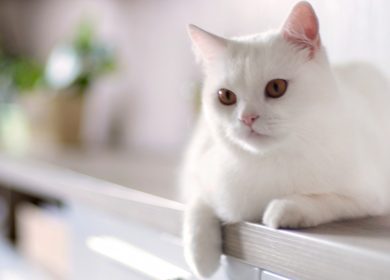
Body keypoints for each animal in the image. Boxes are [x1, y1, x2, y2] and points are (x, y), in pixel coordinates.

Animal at [181, 1, 390, 278]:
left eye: (276, 87)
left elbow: (328, 199)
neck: (271, 160)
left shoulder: (373, 196)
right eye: (226, 96)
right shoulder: (199, 171)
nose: (247, 118)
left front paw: (286, 208)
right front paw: (199, 255)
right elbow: (198, 202)